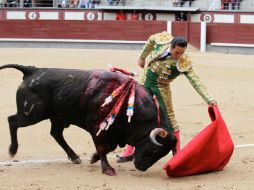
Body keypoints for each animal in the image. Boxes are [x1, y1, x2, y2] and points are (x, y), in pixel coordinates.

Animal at [0, 64, 177, 176]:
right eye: (154, 150)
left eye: (162, 154)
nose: (141, 167)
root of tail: (32, 70)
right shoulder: (97, 128)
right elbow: (103, 147)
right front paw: (107, 169)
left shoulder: (113, 132)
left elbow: (109, 147)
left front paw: (93, 158)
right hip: (32, 114)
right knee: (12, 121)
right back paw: (12, 150)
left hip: (57, 117)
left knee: (56, 134)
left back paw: (75, 157)